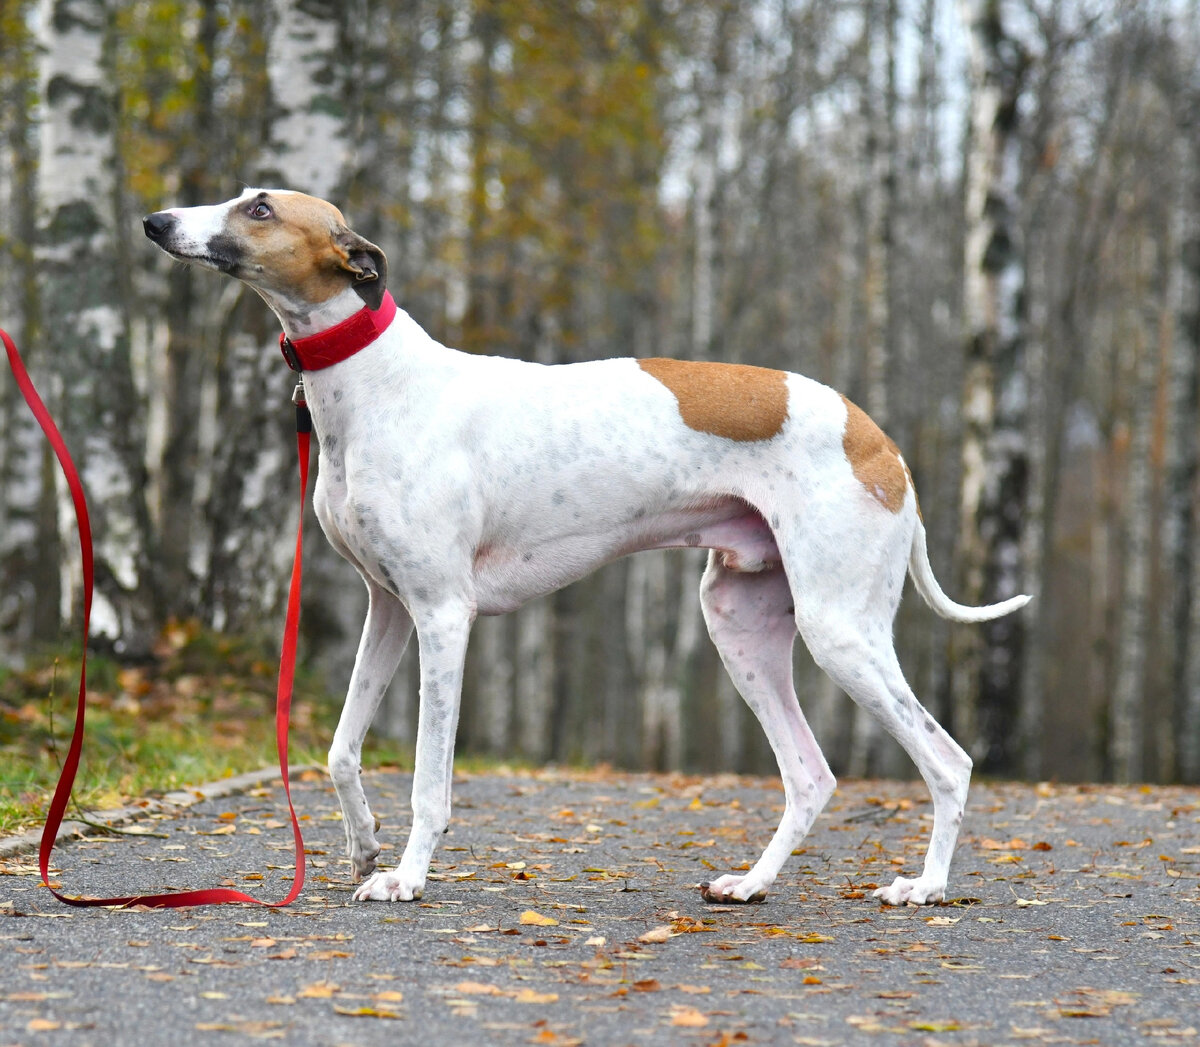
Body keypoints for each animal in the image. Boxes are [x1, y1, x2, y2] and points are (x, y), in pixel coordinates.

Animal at [142, 188, 1032, 907]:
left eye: (260, 208)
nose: (155, 221)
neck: (376, 383)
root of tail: (881, 442)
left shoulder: (443, 616)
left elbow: (430, 780)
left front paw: (406, 877)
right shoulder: (387, 607)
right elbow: (339, 751)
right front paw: (364, 848)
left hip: (838, 627)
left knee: (947, 758)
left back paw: (926, 886)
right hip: (742, 623)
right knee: (811, 774)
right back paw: (751, 882)